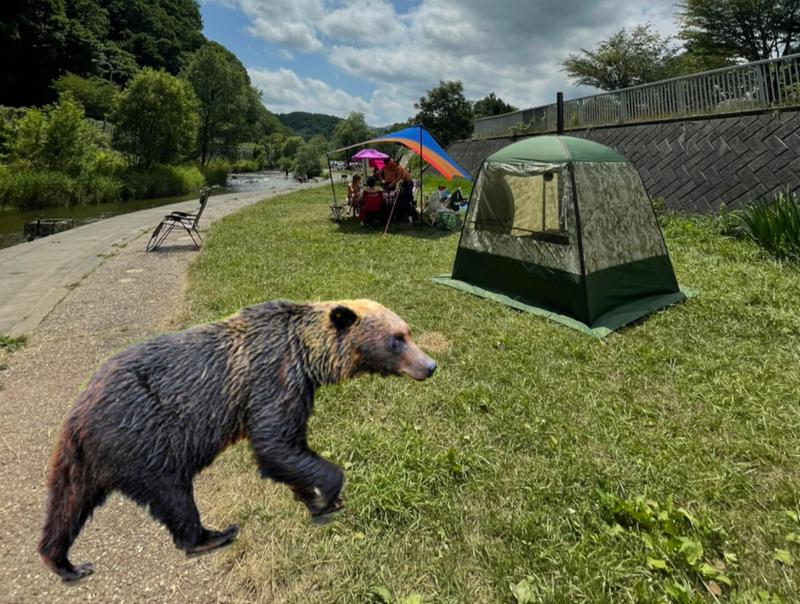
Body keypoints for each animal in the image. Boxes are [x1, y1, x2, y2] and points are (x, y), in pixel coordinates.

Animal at [39, 300, 434, 584]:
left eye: (408, 332)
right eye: (397, 339)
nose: (430, 365)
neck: (307, 357)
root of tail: (77, 415)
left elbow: (289, 452)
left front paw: (313, 498)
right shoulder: (273, 379)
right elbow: (275, 446)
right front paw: (328, 497)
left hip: (84, 459)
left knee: (67, 506)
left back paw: (66, 563)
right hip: (144, 436)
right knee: (173, 494)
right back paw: (214, 534)